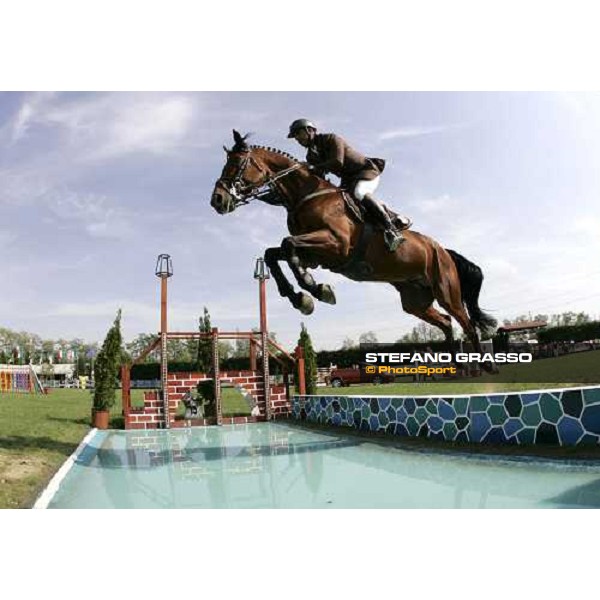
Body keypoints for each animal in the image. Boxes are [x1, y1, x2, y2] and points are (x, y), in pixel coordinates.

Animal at [211, 130, 496, 366]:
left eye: (237, 164)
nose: (217, 200)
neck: (306, 195)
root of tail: (444, 250)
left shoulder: (336, 244)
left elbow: (287, 245)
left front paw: (314, 290)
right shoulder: (313, 253)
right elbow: (274, 253)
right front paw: (302, 297)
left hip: (446, 291)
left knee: (466, 323)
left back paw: (485, 367)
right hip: (414, 300)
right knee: (446, 323)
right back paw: (455, 366)